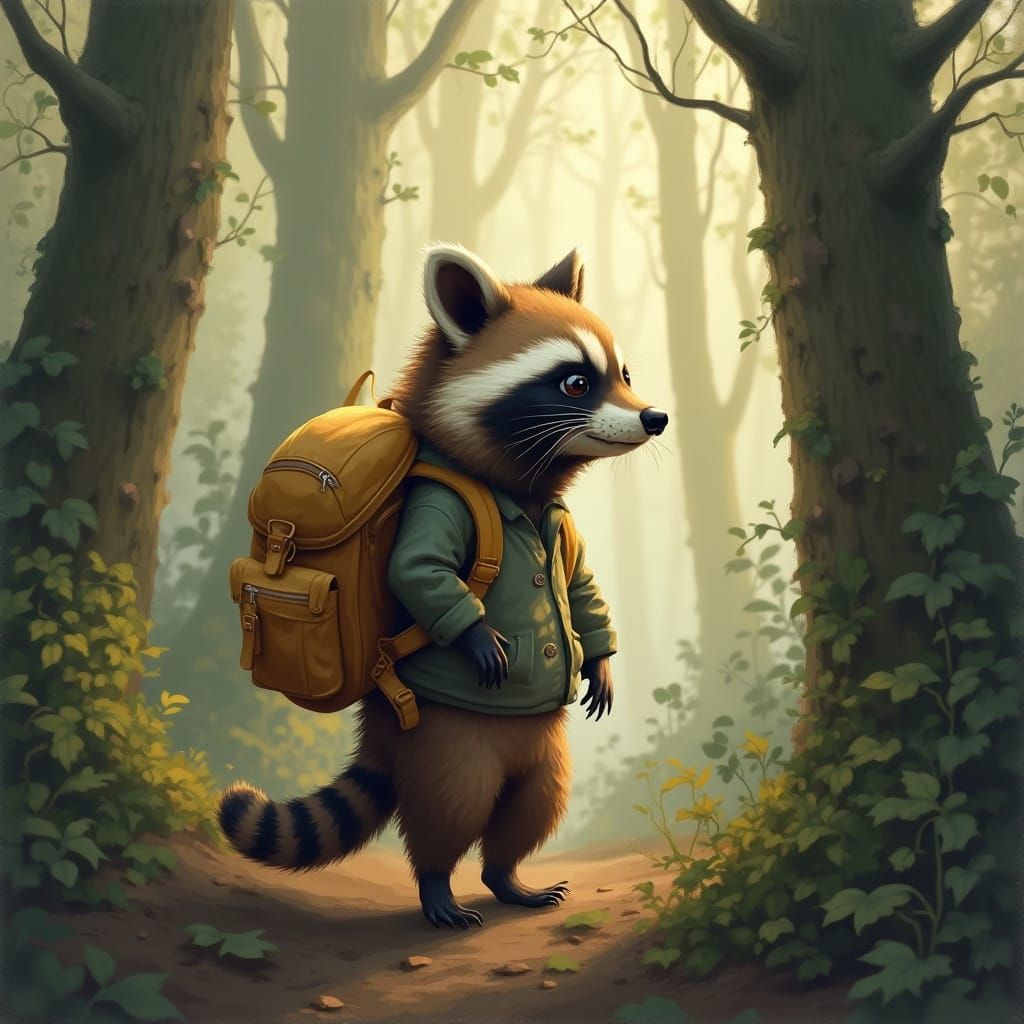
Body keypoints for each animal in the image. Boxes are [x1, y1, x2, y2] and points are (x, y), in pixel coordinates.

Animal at [219, 244, 667, 929]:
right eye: (574, 383)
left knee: (537, 799)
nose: (656, 417)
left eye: (623, 372)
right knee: (452, 802)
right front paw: (476, 633)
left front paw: (601, 660)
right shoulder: (438, 504)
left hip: (542, 746)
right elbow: (418, 570)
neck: (517, 490)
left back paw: (507, 875)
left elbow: (581, 584)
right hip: (444, 732)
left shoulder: (561, 527)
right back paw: (437, 883)